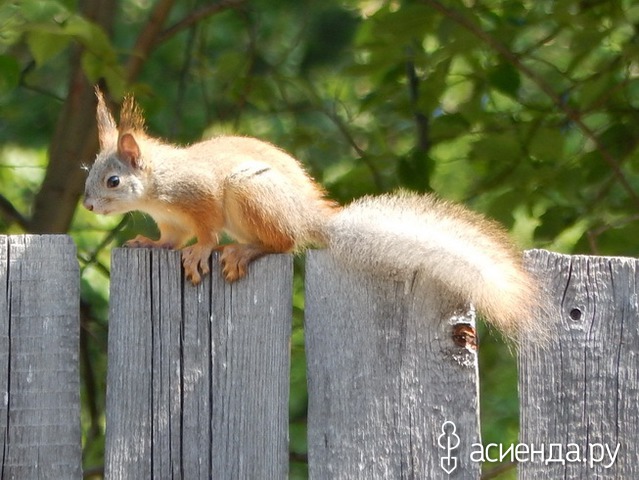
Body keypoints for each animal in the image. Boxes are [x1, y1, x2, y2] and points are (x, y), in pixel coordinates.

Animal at [83, 88, 544, 342]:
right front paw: (147, 242)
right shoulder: (172, 221)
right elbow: (169, 239)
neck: (157, 187)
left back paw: (245, 251)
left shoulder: (201, 195)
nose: (87, 206)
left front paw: (201, 252)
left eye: (113, 181)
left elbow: (207, 231)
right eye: (90, 174)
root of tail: (308, 219)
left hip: (251, 194)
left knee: (284, 243)